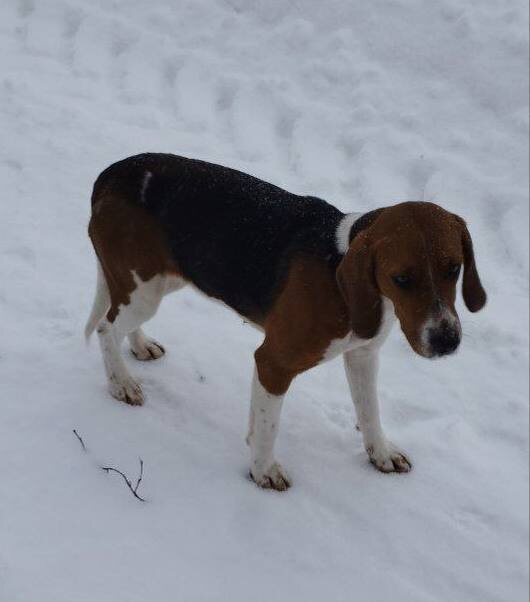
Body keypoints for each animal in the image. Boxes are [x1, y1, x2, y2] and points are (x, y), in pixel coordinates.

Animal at [86, 153, 487, 491]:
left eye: (453, 268)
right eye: (401, 279)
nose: (446, 340)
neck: (337, 267)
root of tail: (113, 172)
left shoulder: (363, 355)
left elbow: (370, 411)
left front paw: (381, 453)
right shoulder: (273, 363)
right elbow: (268, 426)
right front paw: (263, 470)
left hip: (156, 284)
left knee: (120, 321)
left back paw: (139, 346)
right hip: (144, 291)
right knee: (106, 326)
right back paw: (121, 383)